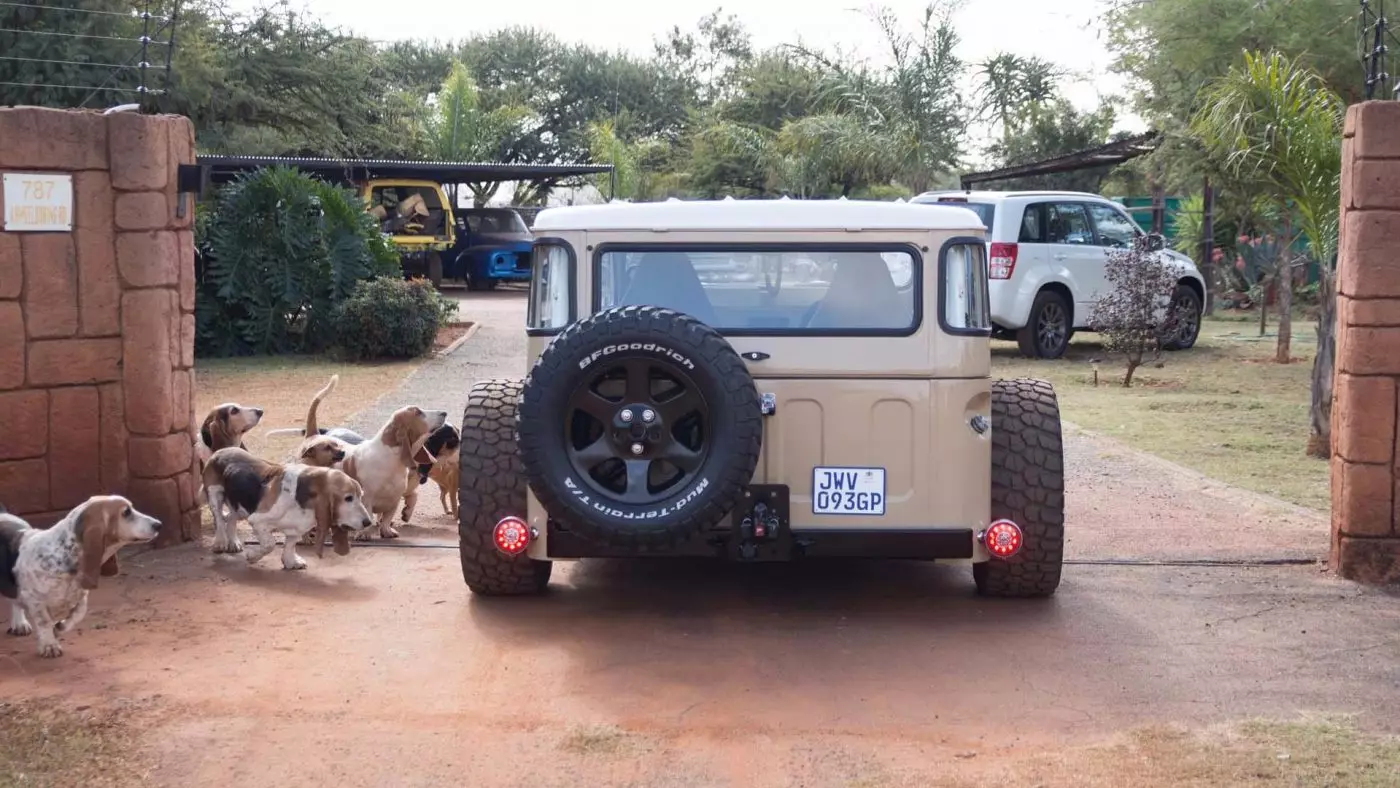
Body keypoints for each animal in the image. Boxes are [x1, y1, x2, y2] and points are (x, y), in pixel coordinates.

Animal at [1, 498, 161, 660]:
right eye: (126, 512)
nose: (159, 524)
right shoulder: (34, 599)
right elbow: (44, 622)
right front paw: (49, 645)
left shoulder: (82, 596)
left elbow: (78, 613)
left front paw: (59, 627)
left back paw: (20, 624)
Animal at [200, 447, 372, 571]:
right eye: (348, 498)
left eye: (361, 496)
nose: (368, 523)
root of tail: (219, 451)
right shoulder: (258, 520)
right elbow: (269, 544)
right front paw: (253, 556)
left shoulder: (297, 528)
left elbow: (290, 544)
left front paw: (290, 562)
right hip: (215, 494)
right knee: (219, 518)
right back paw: (220, 542)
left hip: (239, 506)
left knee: (231, 518)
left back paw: (234, 543)